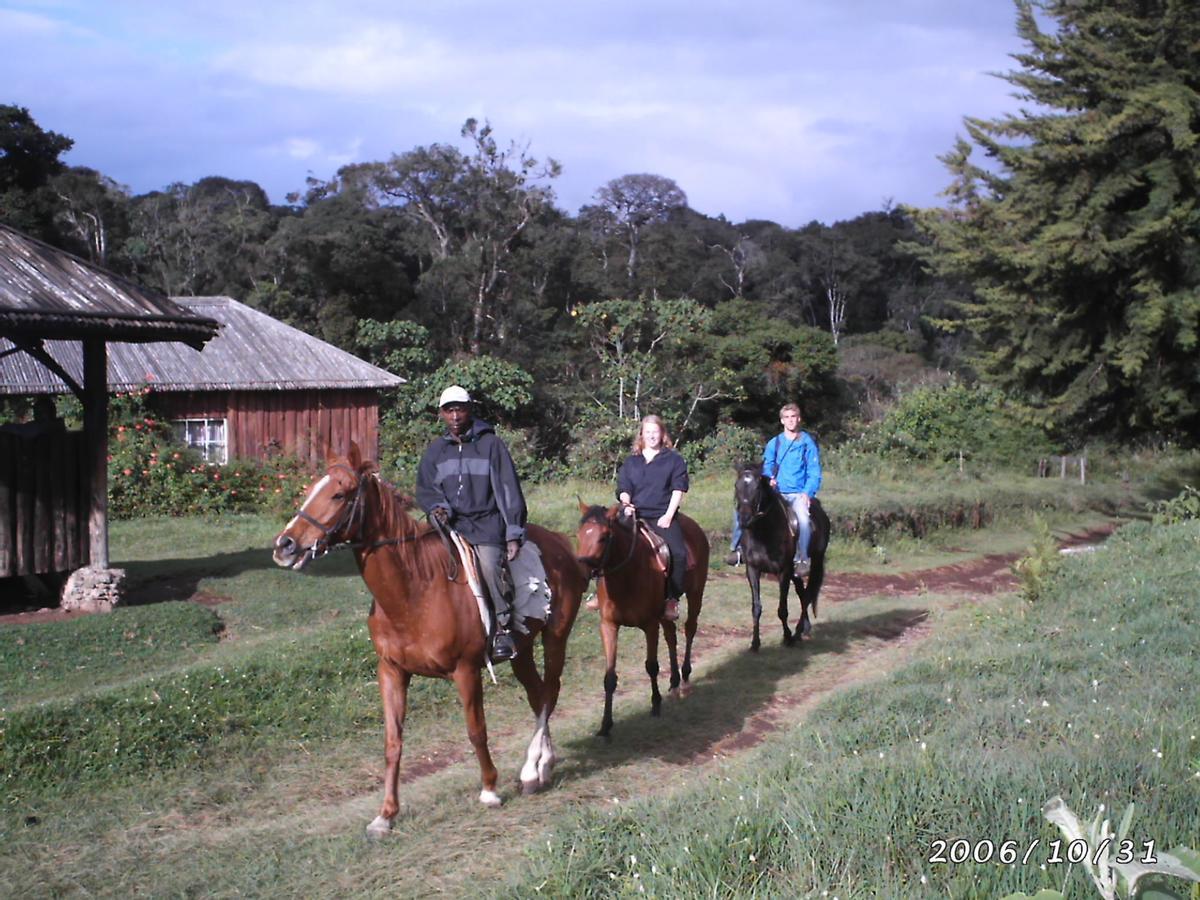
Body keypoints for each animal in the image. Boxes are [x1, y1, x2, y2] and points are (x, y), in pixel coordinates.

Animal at [273, 446, 590, 840]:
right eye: (310, 489)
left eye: (339, 494)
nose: (285, 545)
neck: (415, 589)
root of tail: (560, 543)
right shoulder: (391, 672)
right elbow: (392, 743)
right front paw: (385, 815)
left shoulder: (466, 671)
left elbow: (476, 731)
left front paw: (489, 789)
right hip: (523, 649)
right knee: (538, 693)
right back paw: (539, 767)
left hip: (556, 636)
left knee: (550, 691)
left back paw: (534, 768)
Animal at [576, 504, 705, 734]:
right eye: (579, 535)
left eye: (603, 537)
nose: (582, 571)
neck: (627, 575)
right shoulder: (609, 626)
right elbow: (609, 677)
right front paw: (605, 725)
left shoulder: (650, 625)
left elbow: (651, 666)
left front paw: (655, 704)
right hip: (665, 613)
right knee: (671, 636)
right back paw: (674, 682)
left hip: (695, 594)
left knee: (690, 629)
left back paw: (685, 678)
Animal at [734, 465, 830, 657]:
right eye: (736, 486)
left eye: (757, 488)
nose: (744, 520)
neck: (764, 532)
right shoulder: (753, 570)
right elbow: (756, 608)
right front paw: (754, 643)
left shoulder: (783, 572)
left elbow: (782, 609)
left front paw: (787, 638)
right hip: (795, 572)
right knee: (803, 593)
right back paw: (804, 629)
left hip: (815, 562)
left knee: (808, 594)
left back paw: (798, 632)